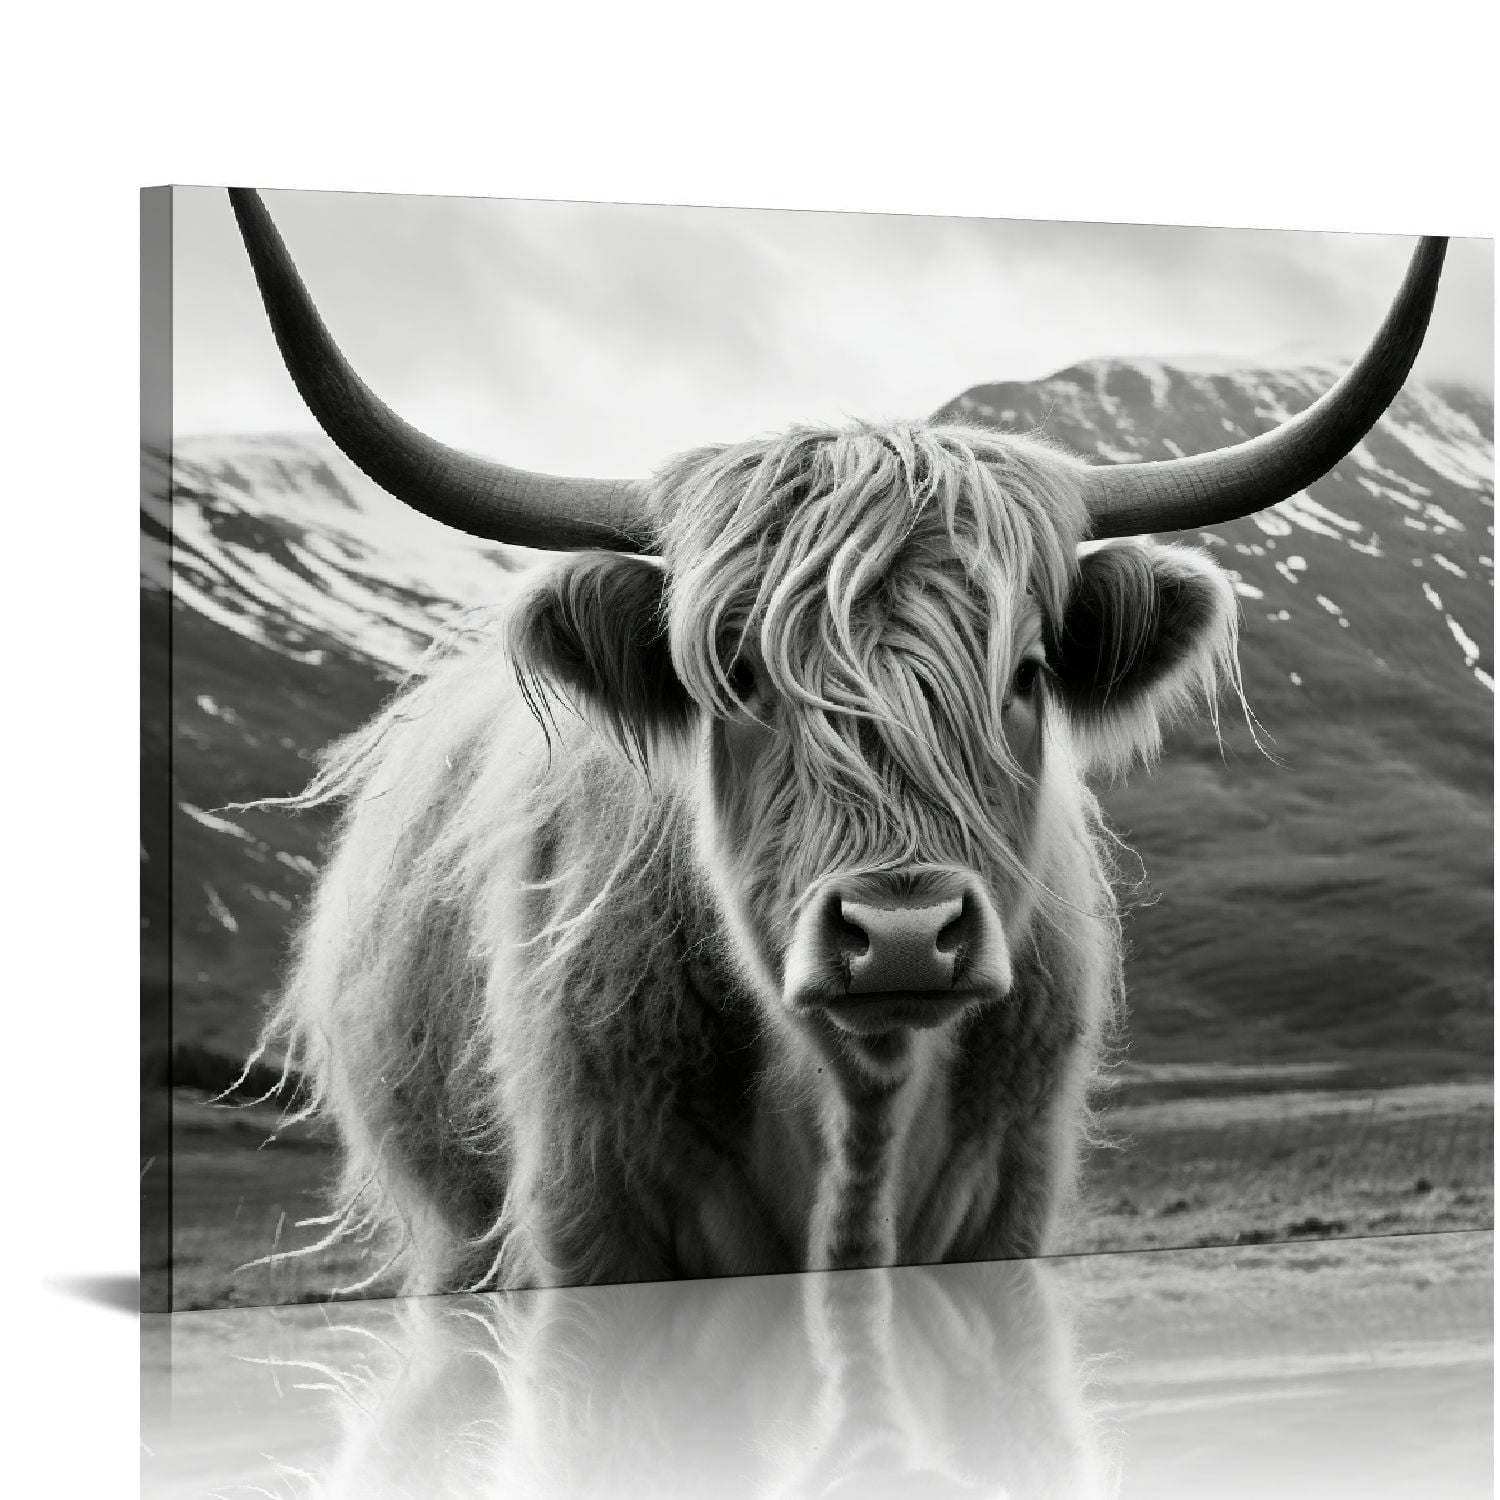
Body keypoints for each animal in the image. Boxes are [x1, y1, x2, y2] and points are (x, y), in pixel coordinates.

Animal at [228, 189, 1445, 1294]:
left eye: (1026, 674)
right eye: (735, 676)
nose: (902, 935)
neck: (859, 1118)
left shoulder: (1010, 1202)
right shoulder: (585, 1219)